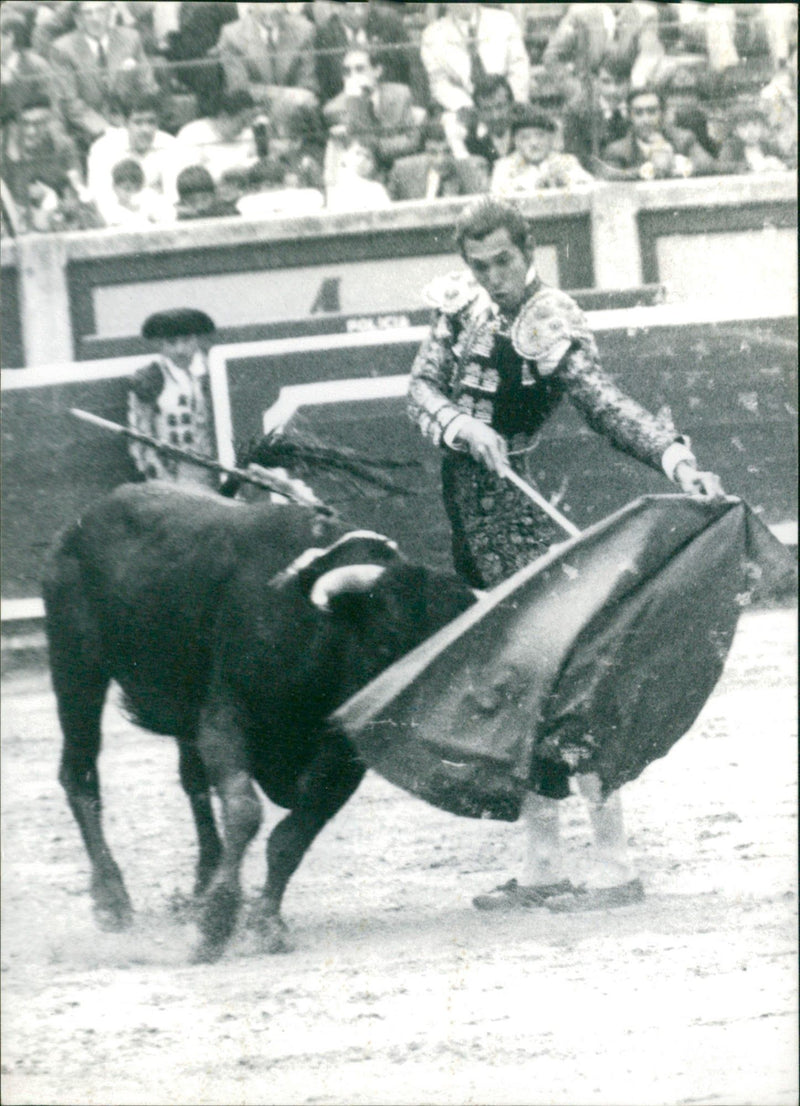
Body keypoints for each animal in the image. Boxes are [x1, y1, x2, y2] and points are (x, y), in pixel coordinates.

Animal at [43, 482, 475, 960]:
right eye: (387, 643)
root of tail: (80, 523)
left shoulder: (343, 759)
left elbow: (291, 836)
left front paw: (263, 923)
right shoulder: (226, 717)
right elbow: (245, 811)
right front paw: (216, 924)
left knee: (193, 784)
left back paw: (199, 886)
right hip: (76, 667)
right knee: (79, 774)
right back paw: (111, 900)